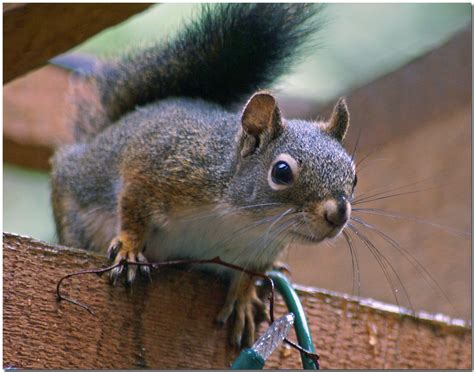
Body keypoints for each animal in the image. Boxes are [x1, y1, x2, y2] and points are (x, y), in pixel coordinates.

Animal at [51, 2, 356, 348]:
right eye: (281, 172)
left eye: (354, 176)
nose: (339, 213)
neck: (242, 221)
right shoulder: (162, 168)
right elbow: (132, 203)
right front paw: (129, 247)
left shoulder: (259, 249)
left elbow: (250, 273)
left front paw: (244, 298)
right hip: (80, 184)